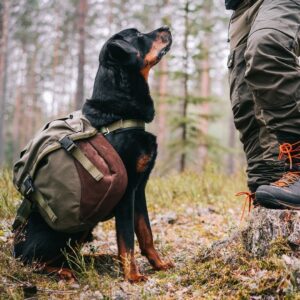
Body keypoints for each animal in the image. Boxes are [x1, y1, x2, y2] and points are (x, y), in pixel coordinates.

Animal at [14, 25, 173, 282]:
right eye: (139, 35)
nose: (166, 27)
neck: (120, 114)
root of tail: (14, 248)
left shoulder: (139, 189)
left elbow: (146, 232)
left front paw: (158, 264)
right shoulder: (127, 193)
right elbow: (127, 239)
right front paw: (133, 276)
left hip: (84, 229)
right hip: (67, 231)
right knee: (32, 260)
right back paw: (64, 271)